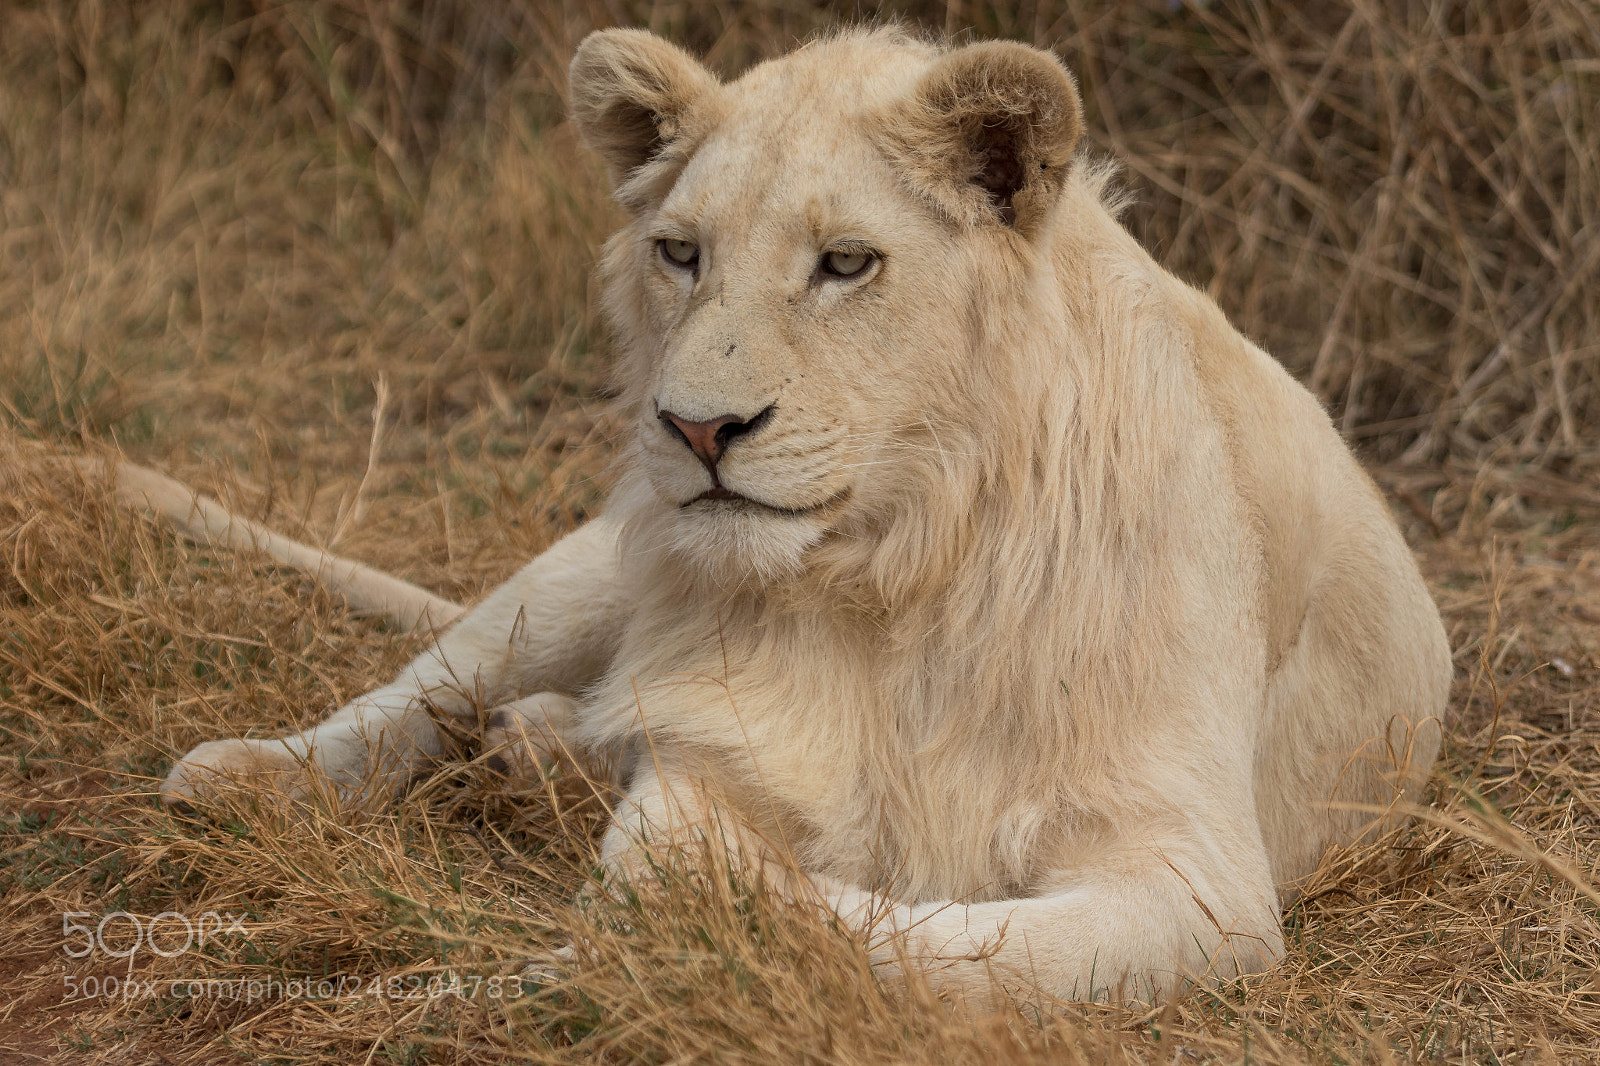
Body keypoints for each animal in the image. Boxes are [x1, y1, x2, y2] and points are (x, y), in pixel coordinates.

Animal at [159, 27, 1452, 1005]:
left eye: (844, 262)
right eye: (681, 253)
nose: (695, 430)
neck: (894, 573)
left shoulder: (1199, 879)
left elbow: (966, 944)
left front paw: (694, 923)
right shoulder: (713, 735)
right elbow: (672, 832)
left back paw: (539, 752)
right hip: (589, 570)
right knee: (423, 687)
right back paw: (244, 775)